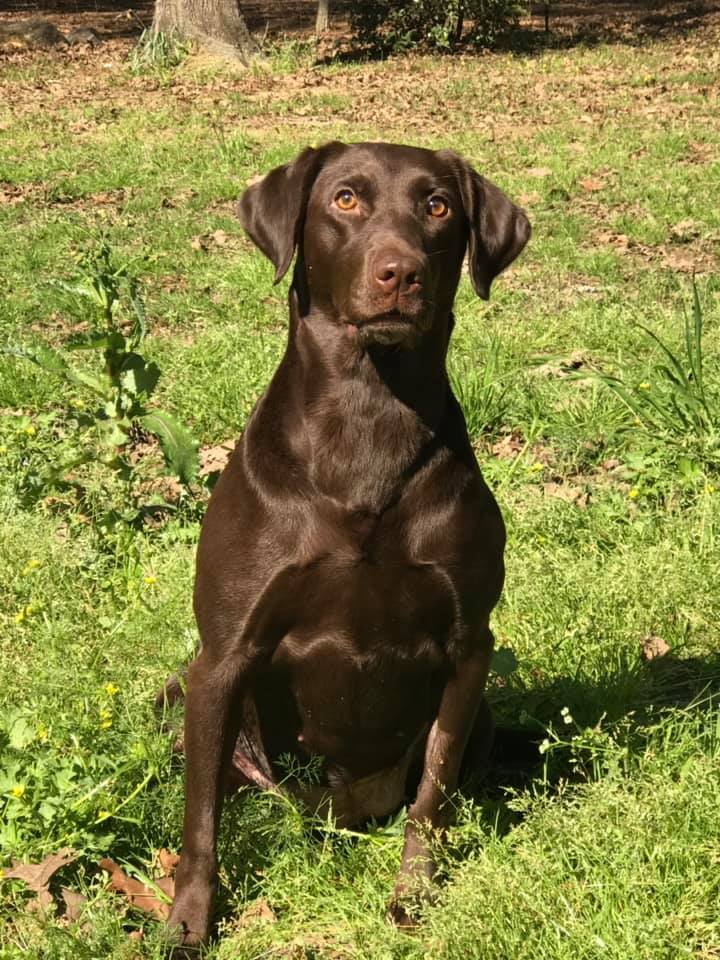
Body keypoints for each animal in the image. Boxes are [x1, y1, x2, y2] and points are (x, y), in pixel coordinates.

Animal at [167, 142, 528, 952]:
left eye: (437, 206)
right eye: (345, 199)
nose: (401, 273)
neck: (368, 414)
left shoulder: (470, 647)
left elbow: (433, 794)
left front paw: (415, 895)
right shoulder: (222, 656)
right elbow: (200, 823)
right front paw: (188, 923)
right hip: (180, 699)